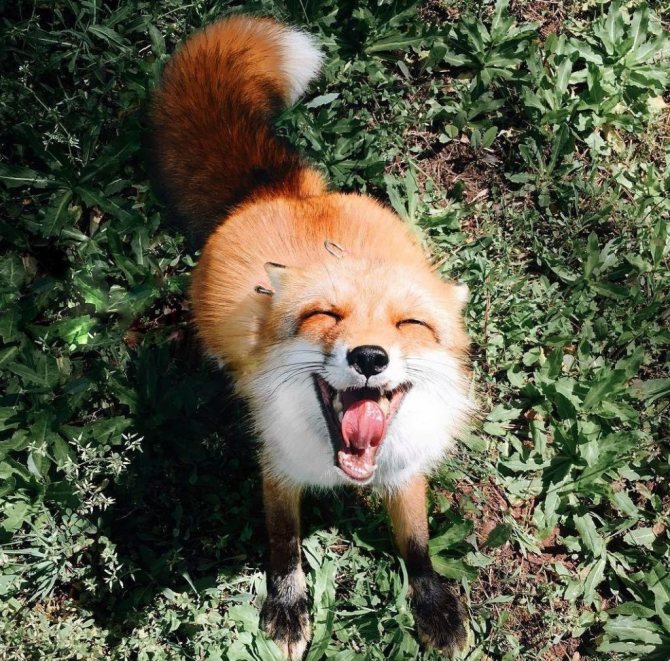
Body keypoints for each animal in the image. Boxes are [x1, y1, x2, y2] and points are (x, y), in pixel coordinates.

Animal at [148, 14, 475, 659]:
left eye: (411, 325)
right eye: (325, 315)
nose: (370, 356)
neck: (341, 467)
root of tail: (284, 191)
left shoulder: (405, 471)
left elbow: (418, 545)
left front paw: (435, 607)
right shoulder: (276, 463)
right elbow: (283, 542)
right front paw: (287, 607)